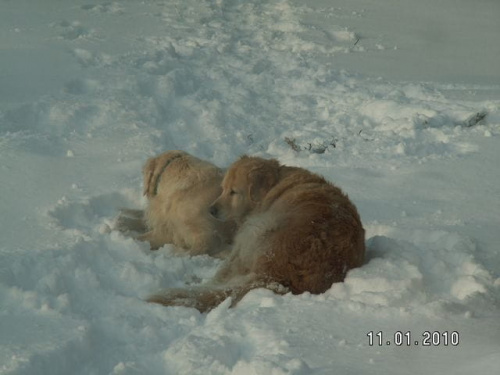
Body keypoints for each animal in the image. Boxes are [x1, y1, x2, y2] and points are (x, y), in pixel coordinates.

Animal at [146, 156, 366, 312]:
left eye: (234, 192)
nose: (211, 210)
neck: (277, 184)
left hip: (253, 230)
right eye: (222, 189)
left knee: (222, 275)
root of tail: (275, 274)